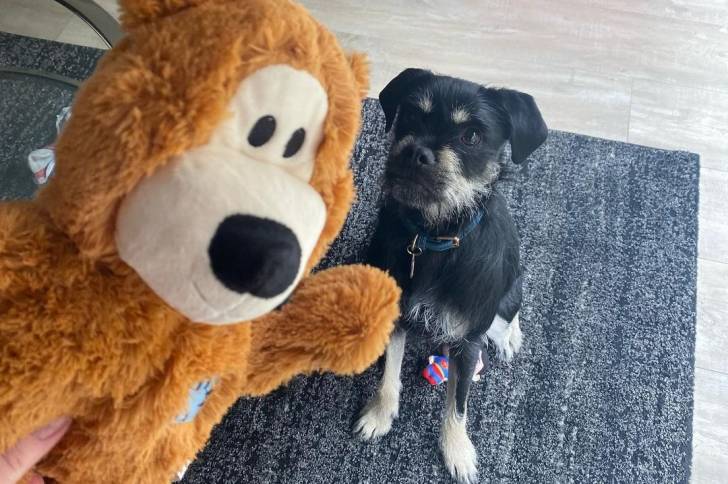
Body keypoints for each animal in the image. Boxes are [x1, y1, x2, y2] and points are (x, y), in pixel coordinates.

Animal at [352, 69, 544, 484]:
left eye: (471, 135)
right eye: (411, 114)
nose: (415, 153)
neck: (433, 237)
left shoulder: (467, 344)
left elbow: (457, 404)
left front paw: (457, 451)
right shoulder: (397, 317)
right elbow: (389, 375)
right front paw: (379, 414)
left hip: (509, 293)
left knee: (510, 310)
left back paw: (509, 336)